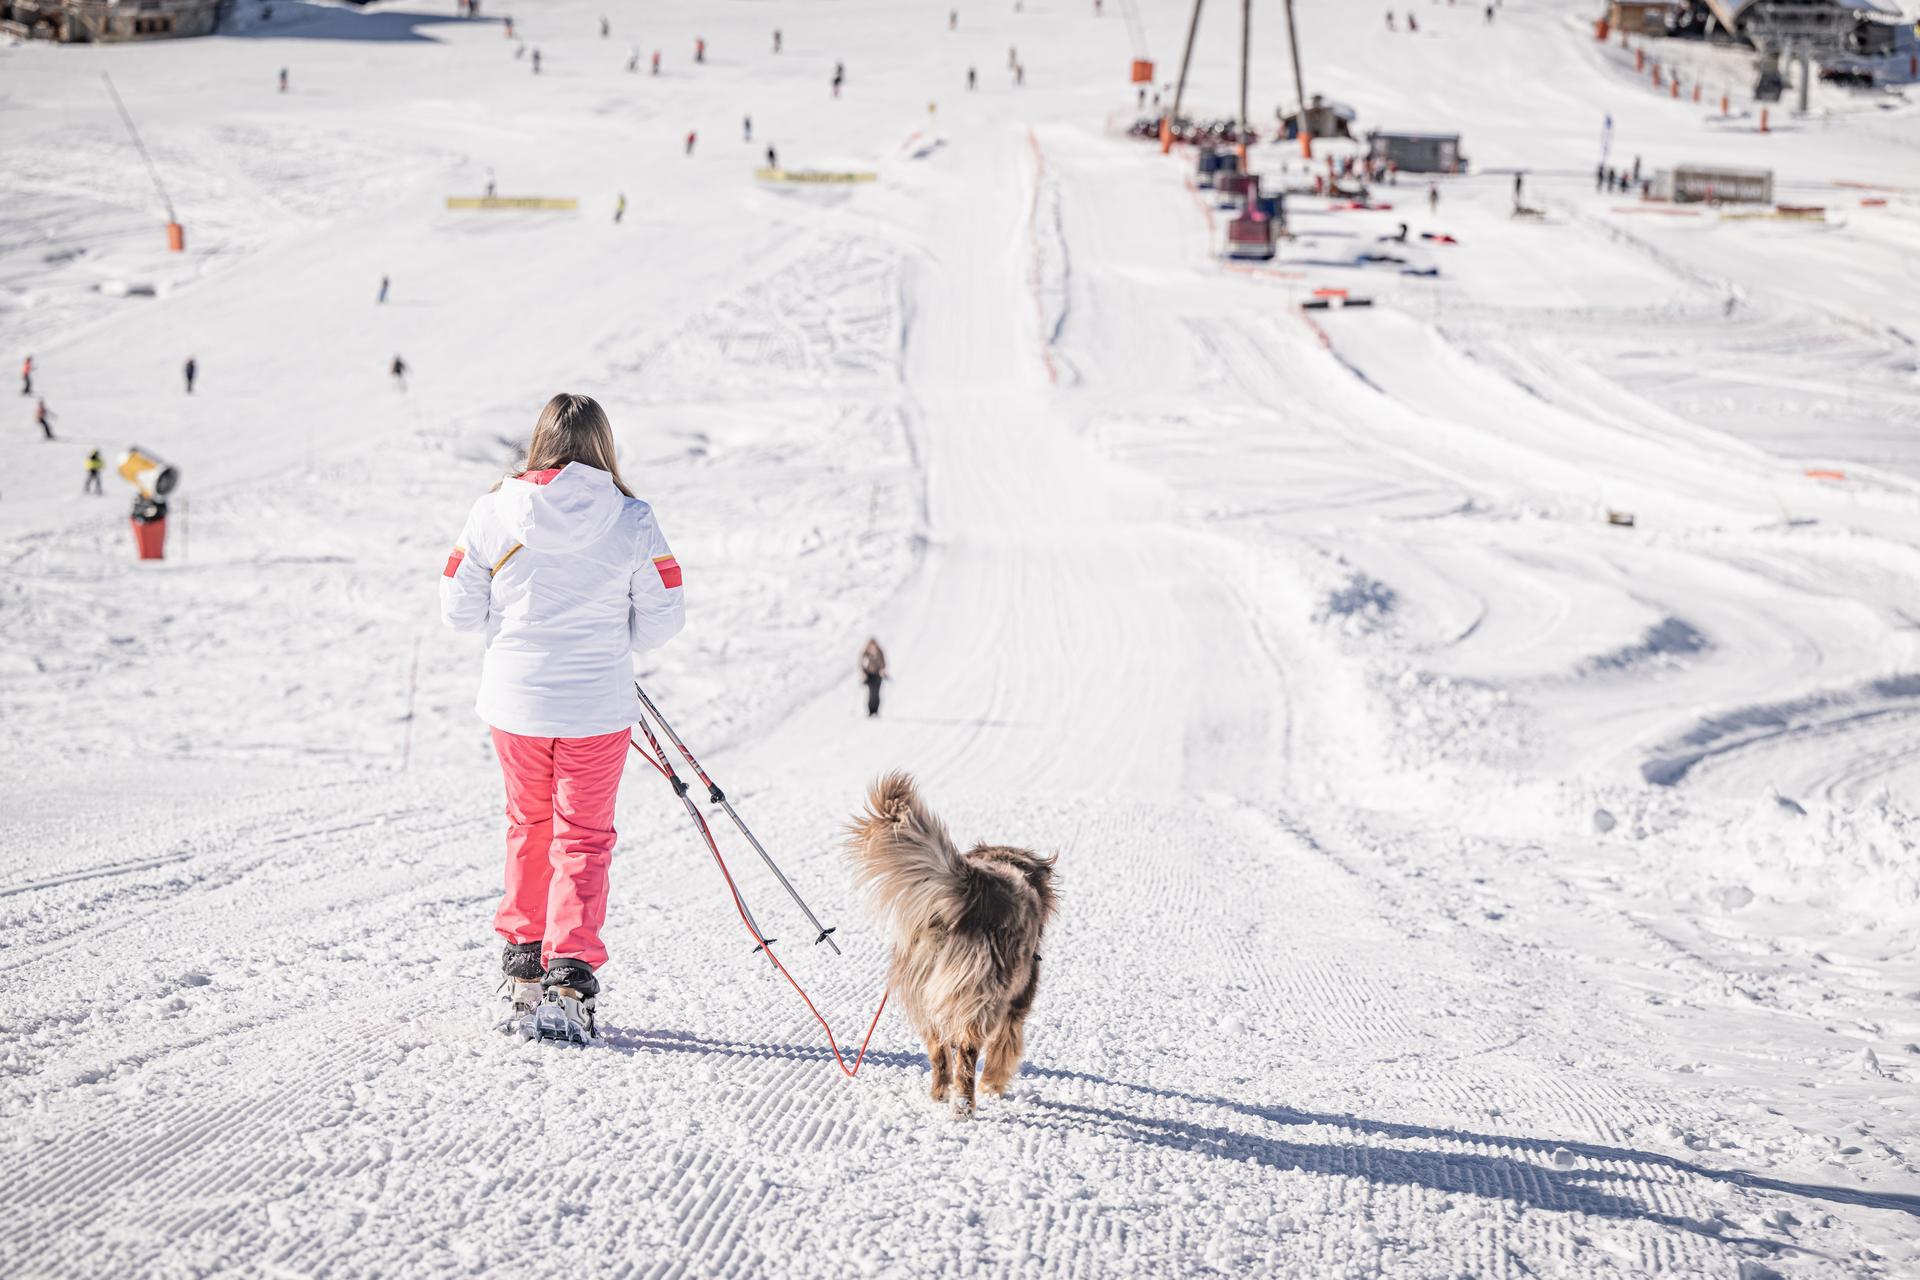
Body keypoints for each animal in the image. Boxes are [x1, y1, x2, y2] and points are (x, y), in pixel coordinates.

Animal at [848, 775, 1059, 1113]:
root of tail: (975, 889)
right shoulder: (1016, 1005)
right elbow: (1003, 1048)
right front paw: (993, 1086)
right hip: (985, 995)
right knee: (968, 1052)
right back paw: (964, 1105)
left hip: (923, 990)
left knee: (938, 1050)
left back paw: (939, 1094)